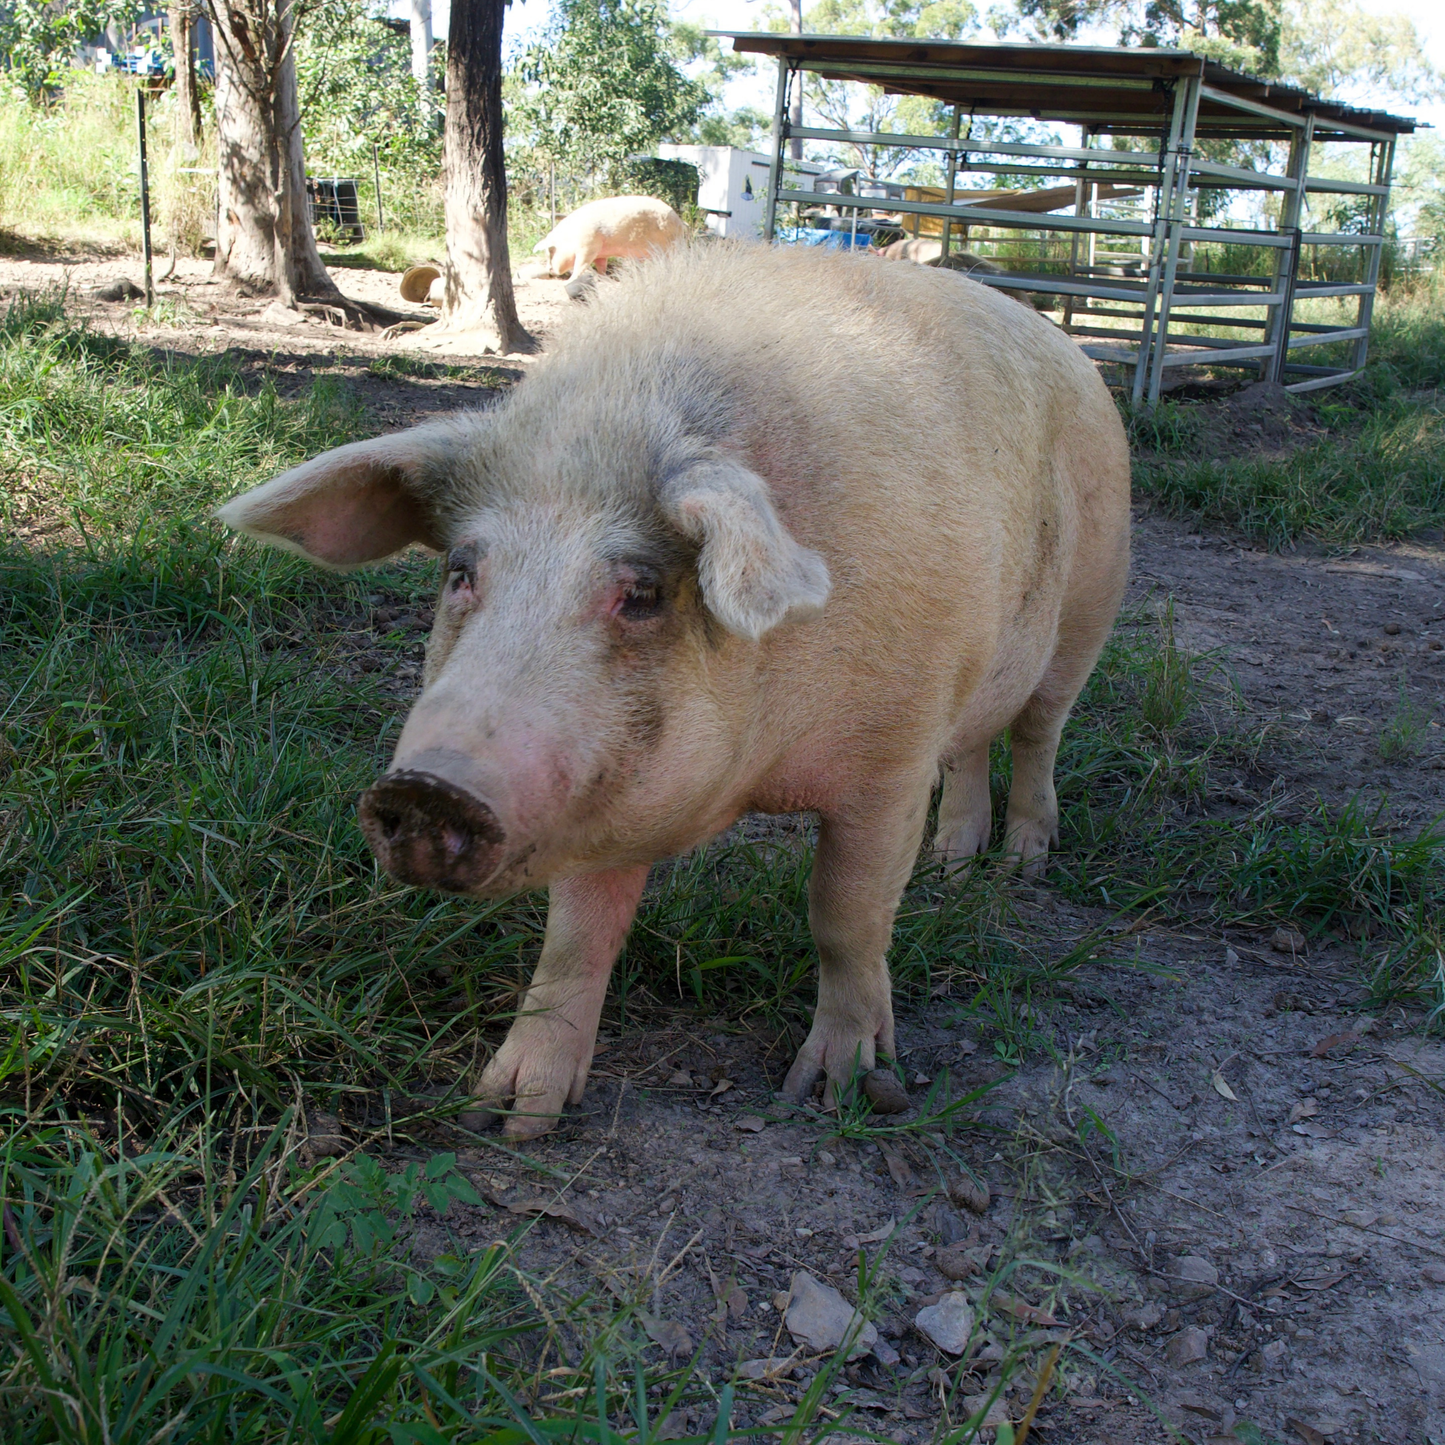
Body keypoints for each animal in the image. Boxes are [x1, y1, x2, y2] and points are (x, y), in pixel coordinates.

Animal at [216, 243, 1130, 1140]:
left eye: (642, 590)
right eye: (461, 571)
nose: (427, 786)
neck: (758, 773)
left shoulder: (892, 759)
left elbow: (846, 915)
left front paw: (832, 1091)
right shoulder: (599, 789)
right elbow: (575, 938)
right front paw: (505, 1116)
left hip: (1090, 605)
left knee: (1038, 731)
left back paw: (1019, 863)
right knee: (974, 745)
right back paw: (952, 864)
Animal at [534, 195, 689, 281]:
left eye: (550, 252)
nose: (549, 271)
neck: (569, 239)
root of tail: (680, 222)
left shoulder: (588, 246)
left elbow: (580, 266)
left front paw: (569, 281)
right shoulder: (600, 254)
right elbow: (601, 266)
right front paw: (602, 277)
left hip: (671, 245)